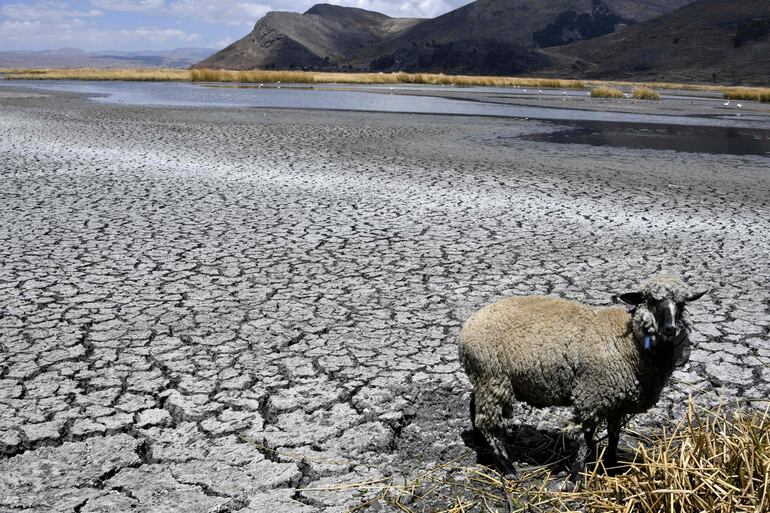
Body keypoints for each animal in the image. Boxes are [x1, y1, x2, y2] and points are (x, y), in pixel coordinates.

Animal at [460, 274, 704, 478]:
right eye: (651, 301)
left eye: (682, 304)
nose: (670, 329)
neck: (629, 343)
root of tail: (467, 326)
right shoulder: (593, 394)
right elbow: (586, 438)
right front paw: (576, 475)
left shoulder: (616, 400)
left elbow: (614, 434)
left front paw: (612, 465)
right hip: (493, 377)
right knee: (488, 423)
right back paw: (508, 467)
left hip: (485, 379)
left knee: (475, 406)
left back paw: (482, 441)